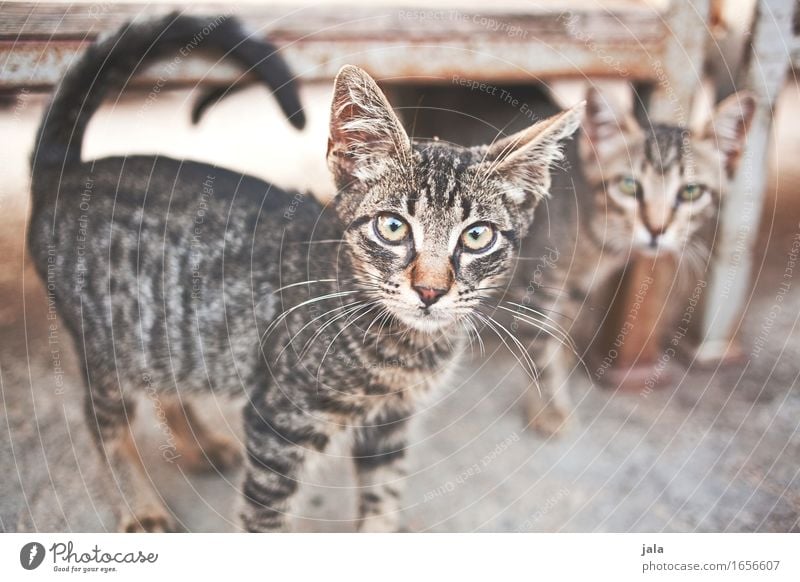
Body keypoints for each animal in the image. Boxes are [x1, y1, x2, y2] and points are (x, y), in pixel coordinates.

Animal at [512, 89, 756, 436]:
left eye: (691, 192)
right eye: (629, 186)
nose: (656, 229)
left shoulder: (577, 286)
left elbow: (560, 333)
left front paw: (565, 361)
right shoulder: (536, 286)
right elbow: (541, 351)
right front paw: (549, 410)